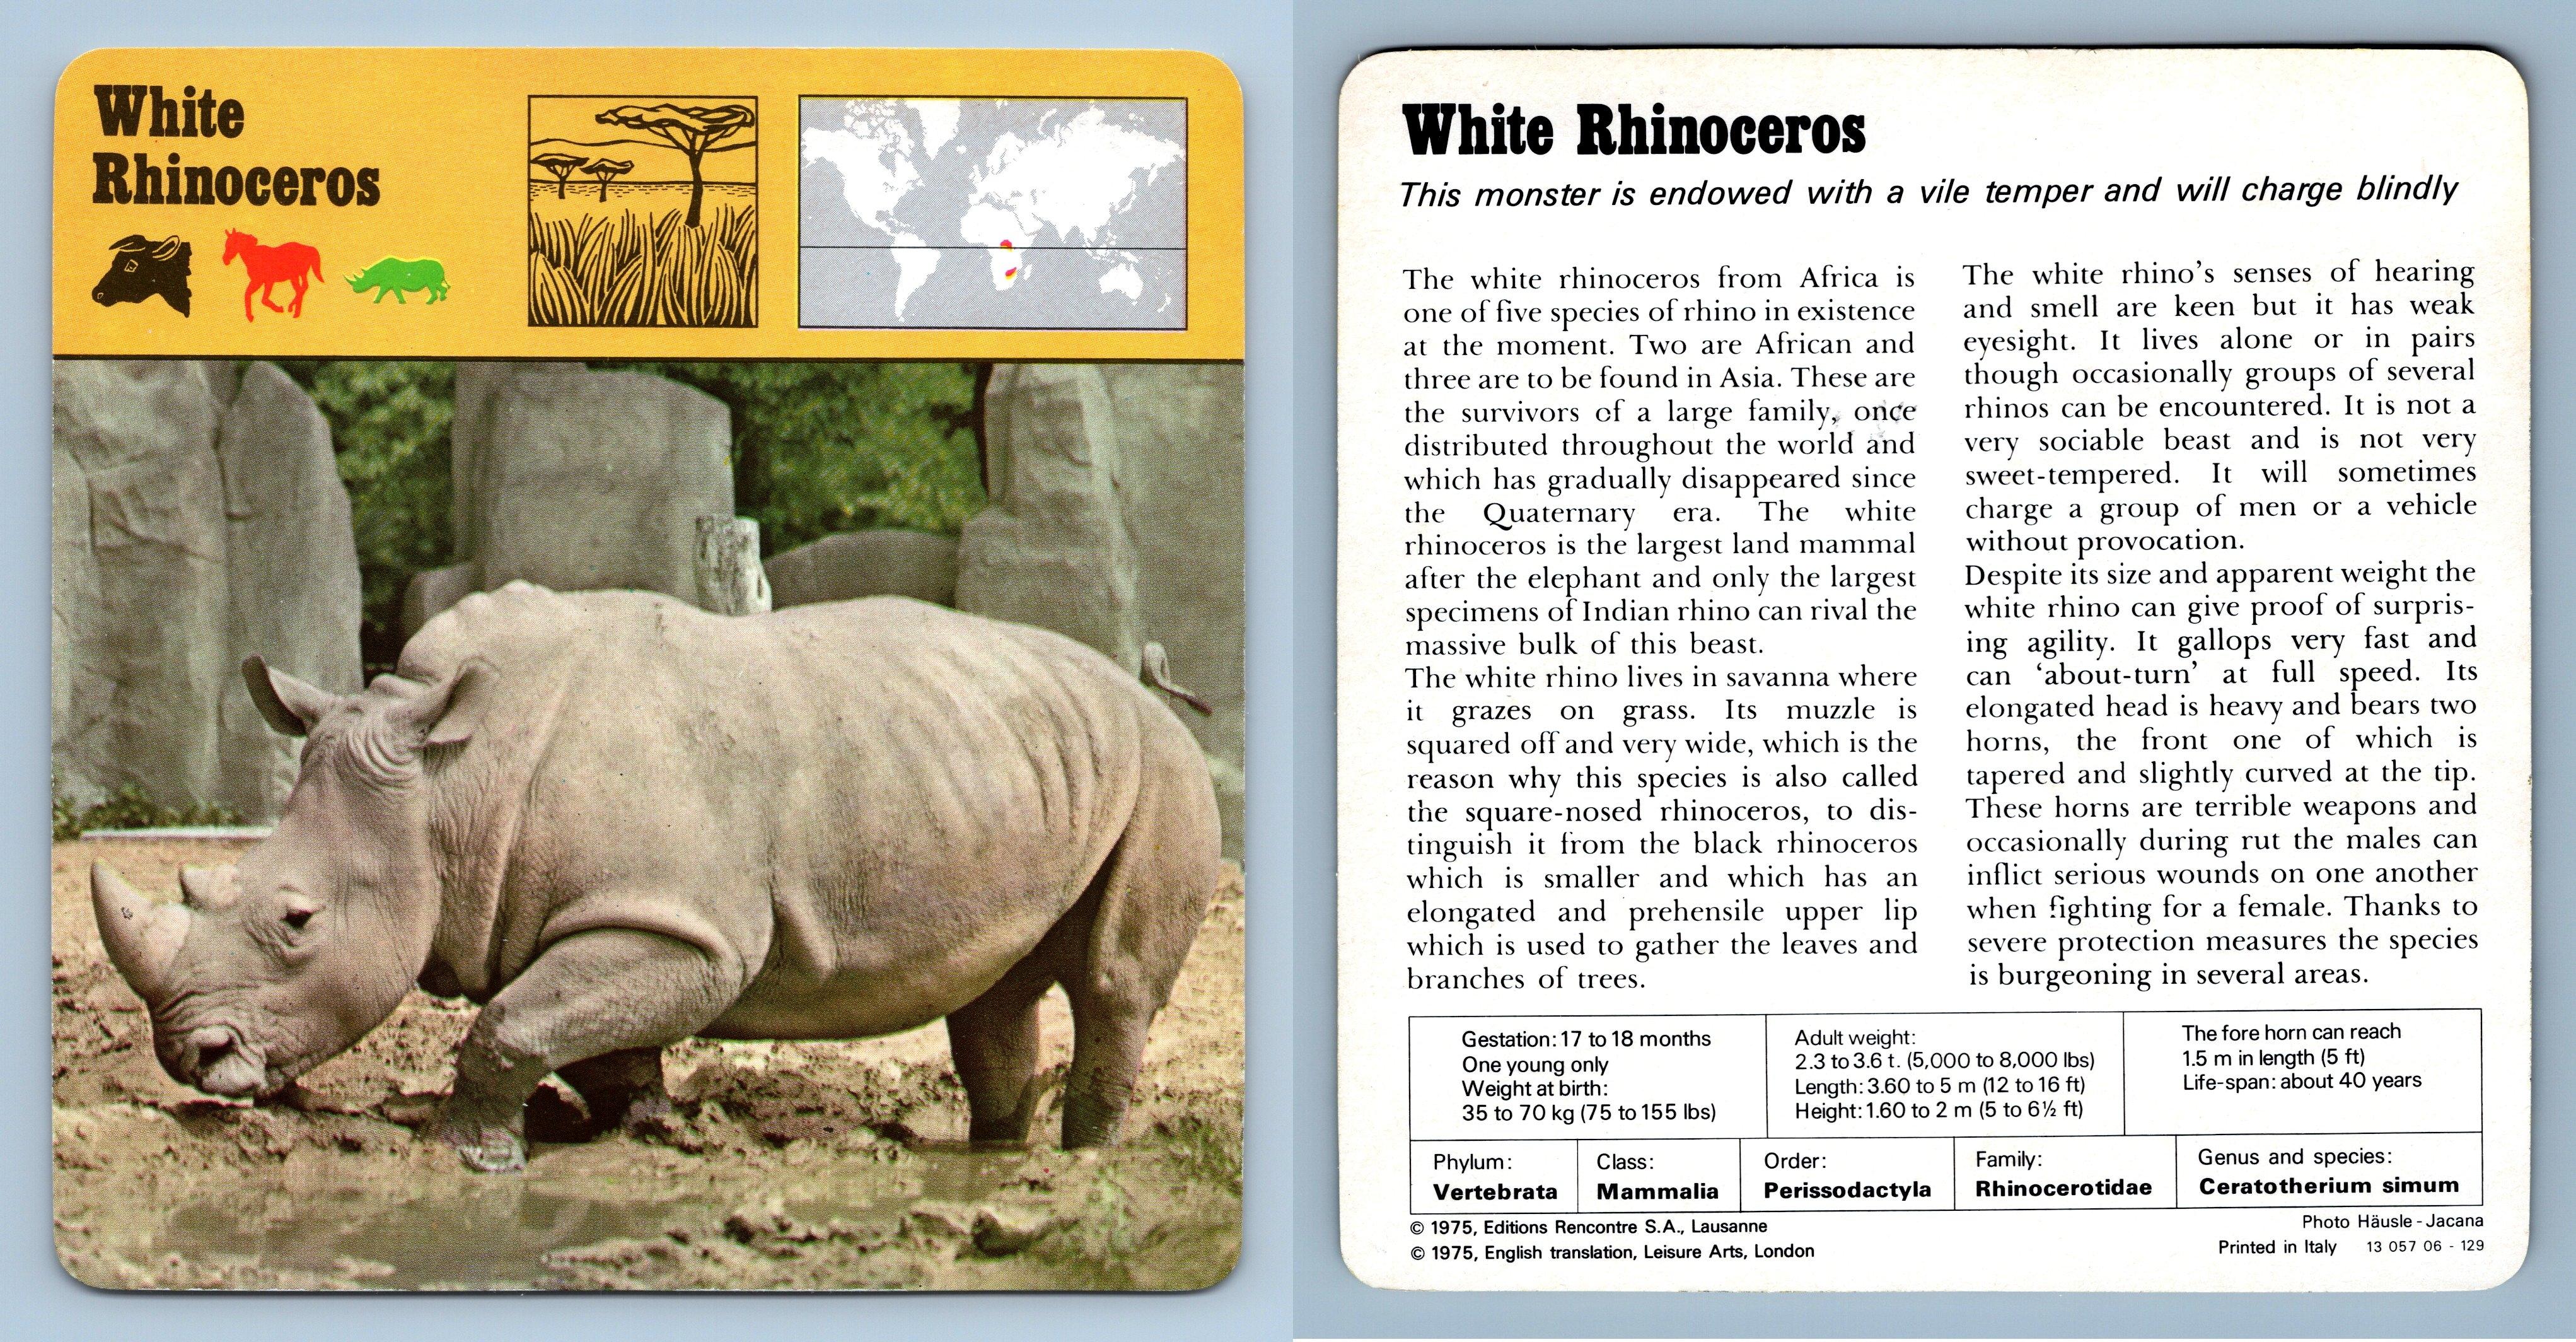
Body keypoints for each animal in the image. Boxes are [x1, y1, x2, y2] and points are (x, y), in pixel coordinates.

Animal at [91, 583, 1220, 1171]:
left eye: (297, 921)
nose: (191, 1058)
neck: (449, 787)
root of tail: (1143, 690)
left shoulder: (684, 927)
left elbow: (515, 1021)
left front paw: (468, 1158)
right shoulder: (592, 915)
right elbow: (580, 1030)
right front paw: (646, 1129)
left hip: (1164, 766)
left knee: (1114, 984)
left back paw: (1083, 1163)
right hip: (1010, 760)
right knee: (991, 999)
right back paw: (996, 1156)